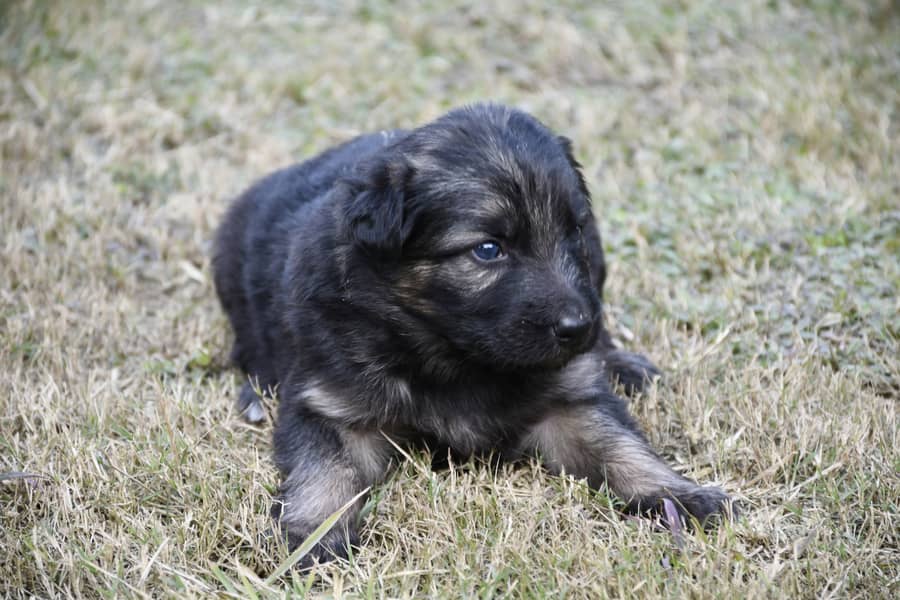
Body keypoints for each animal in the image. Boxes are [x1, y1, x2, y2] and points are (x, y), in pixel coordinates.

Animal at [214, 104, 736, 568]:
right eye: (488, 249)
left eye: (573, 231)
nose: (577, 327)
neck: (454, 356)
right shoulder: (330, 406)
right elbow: (326, 471)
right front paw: (312, 537)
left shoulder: (567, 403)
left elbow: (619, 447)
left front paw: (680, 495)